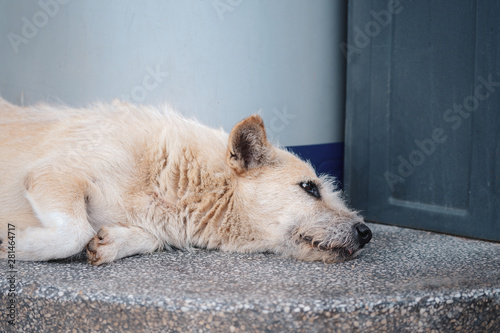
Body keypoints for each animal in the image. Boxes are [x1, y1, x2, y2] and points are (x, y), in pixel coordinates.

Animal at [0, 96, 368, 264]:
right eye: (309, 187)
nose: (367, 233)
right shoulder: (52, 175)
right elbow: (74, 232)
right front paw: (12, 245)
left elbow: (148, 238)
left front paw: (113, 241)